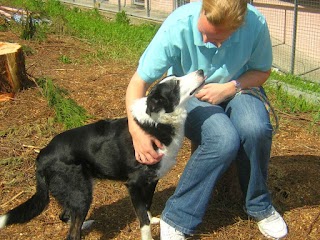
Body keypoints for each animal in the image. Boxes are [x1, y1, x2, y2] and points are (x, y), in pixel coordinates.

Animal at [0, 69, 205, 238]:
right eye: (176, 84)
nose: (202, 71)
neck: (158, 121)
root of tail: (42, 154)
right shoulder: (134, 184)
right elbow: (143, 222)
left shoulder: (152, 180)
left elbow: (147, 206)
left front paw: (152, 217)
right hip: (81, 194)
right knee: (72, 233)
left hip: (76, 193)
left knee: (65, 215)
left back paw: (86, 223)